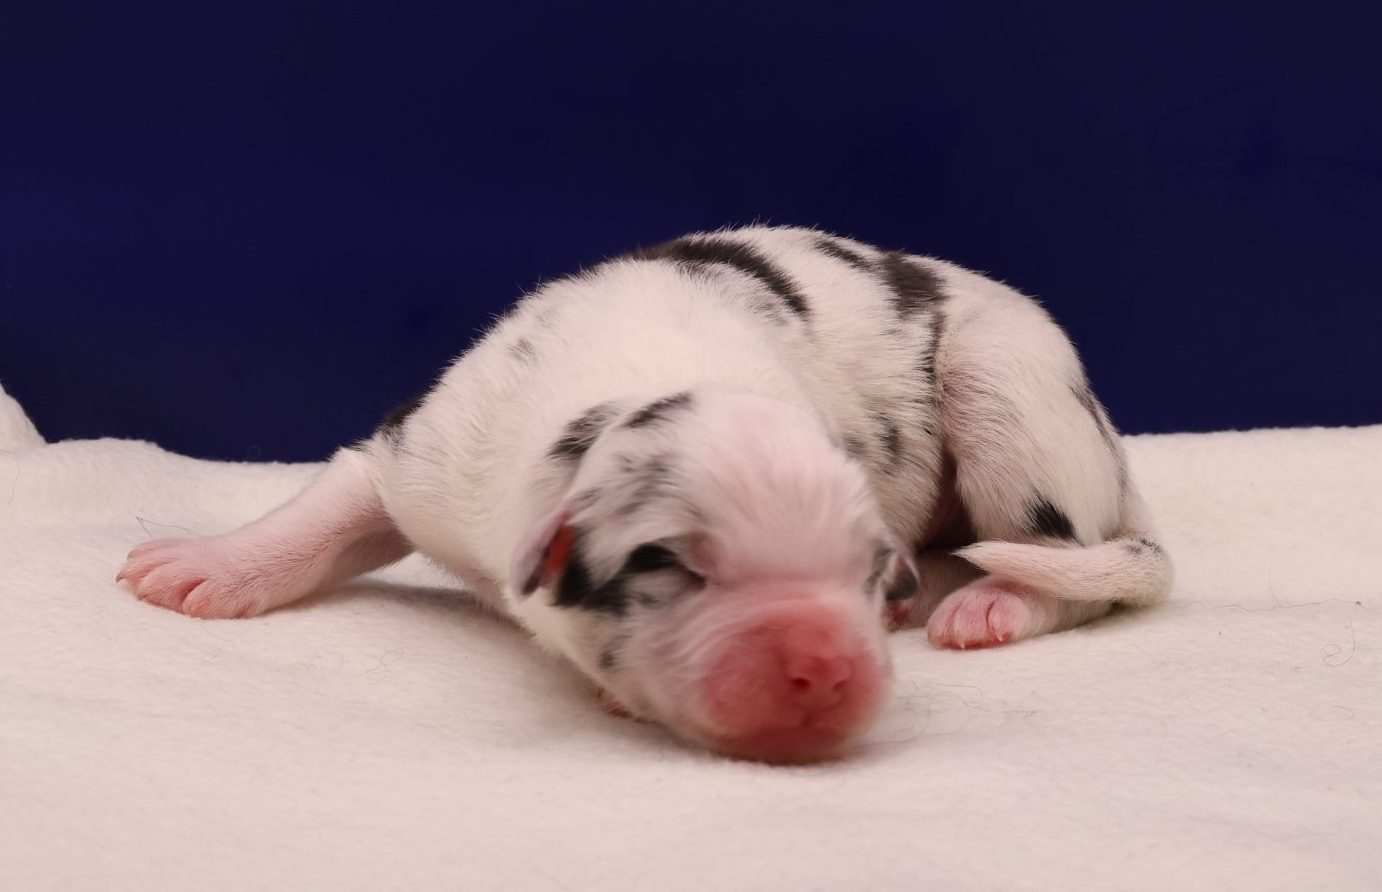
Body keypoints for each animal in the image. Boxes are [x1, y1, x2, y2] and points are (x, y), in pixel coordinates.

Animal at [117, 226, 1172, 763]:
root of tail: (1119, 464)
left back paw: (992, 602)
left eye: (870, 574)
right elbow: (329, 507)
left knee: (1075, 566)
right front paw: (204, 567)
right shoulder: (421, 453)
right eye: (666, 564)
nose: (830, 667)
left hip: (1008, 385)